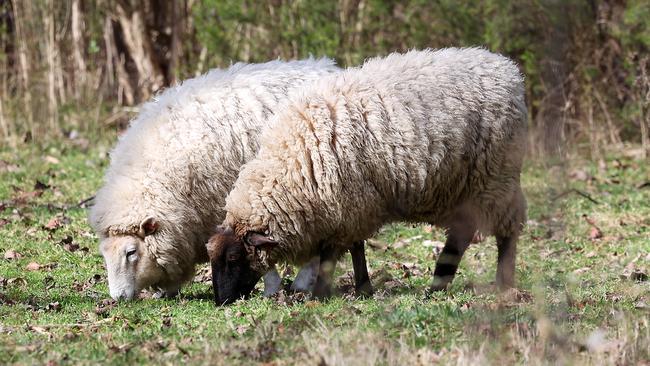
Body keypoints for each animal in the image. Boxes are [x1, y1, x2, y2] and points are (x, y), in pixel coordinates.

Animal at [88, 58, 342, 300]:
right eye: (105, 254)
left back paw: (302, 283)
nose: (118, 298)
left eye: (131, 252)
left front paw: (270, 288)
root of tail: (330, 67)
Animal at [208, 47, 528, 304]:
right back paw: (438, 284)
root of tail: (508, 70)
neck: (295, 163)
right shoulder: (354, 206)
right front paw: (363, 288)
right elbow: (356, 248)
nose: (221, 301)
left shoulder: (349, 205)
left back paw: (503, 284)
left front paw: (321, 293)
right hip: (465, 186)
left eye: (234, 257)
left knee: (506, 232)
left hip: (497, 176)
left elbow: (331, 255)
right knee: (462, 234)